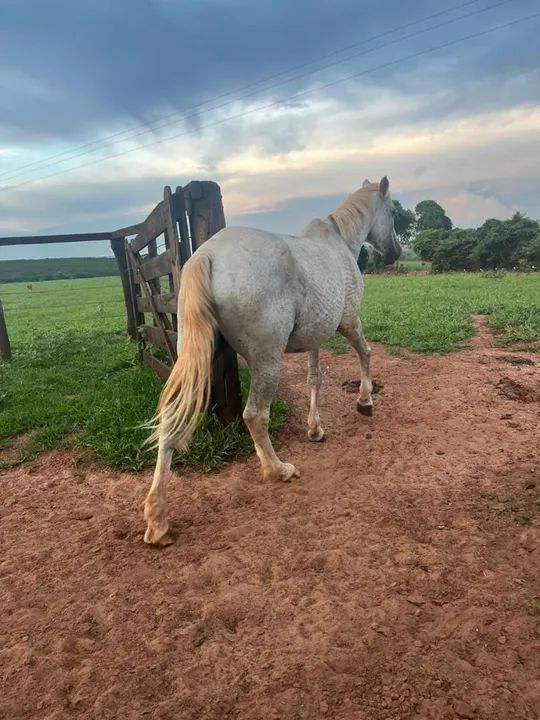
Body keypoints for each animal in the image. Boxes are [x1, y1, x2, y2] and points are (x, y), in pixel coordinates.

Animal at [143, 176, 400, 545]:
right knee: (254, 415)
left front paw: (315, 429)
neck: (338, 244)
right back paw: (278, 470)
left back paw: (157, 521)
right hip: (267, 360)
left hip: (196, 360)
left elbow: (314, 378)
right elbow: (365, 353)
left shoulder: (315, 337)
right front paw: (365, 402)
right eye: (392, 211)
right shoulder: (349, 322)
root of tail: (207, 254)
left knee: (172, 421)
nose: (395, 252)